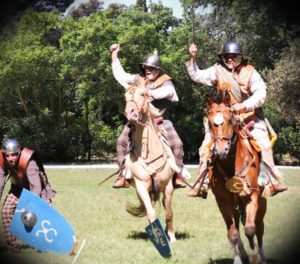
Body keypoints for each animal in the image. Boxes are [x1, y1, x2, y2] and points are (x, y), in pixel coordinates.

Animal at [123, 76, 179, 243]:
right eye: (125, 97)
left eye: (142, 94)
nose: (130, 112)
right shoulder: (141, 187)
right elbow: (151, 213)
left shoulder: (168, 186)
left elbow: (169, 212)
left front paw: (171, 237)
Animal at [206, 89, 268, 264]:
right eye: (209, 123)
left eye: (229, 119)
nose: (221, 151)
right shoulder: (223, 202)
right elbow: (233, 233)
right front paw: (239, 258)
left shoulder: (252, 196)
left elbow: (250, 229)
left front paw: (255, 256)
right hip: (235, 206)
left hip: (262, 202)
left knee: (259, 228)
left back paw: (262, 255)